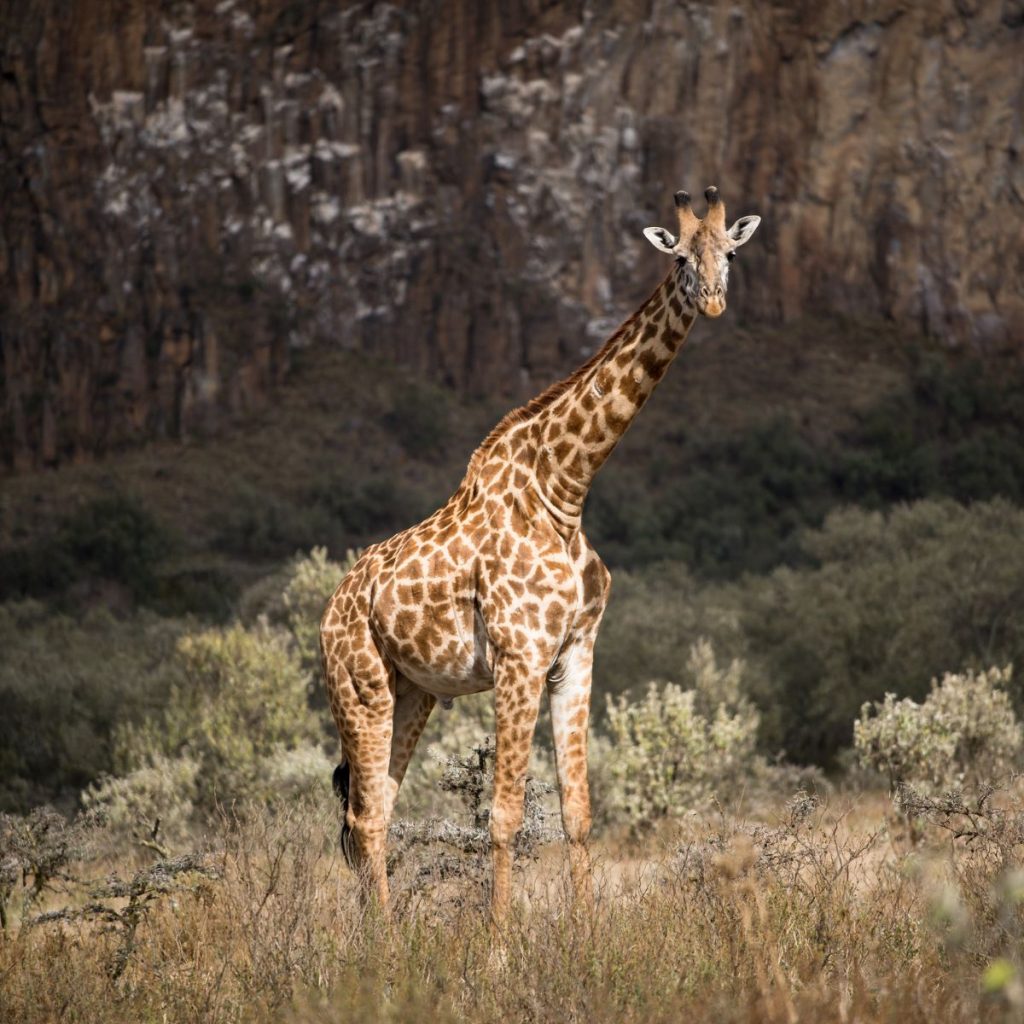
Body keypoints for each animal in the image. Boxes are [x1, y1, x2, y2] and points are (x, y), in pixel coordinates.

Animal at [319, 188, 761, 925]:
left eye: (730, 252)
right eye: (679, 257)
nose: (714, 302)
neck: (564, 490)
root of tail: (330, 610)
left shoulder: (575, 654)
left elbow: (578, 812)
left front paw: (585, 936)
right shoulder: (519, 658)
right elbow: (504, 815)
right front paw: (499, 943)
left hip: (414, 692)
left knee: (373, 810)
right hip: (359, 685)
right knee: (364, 818)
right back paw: (380, 946)